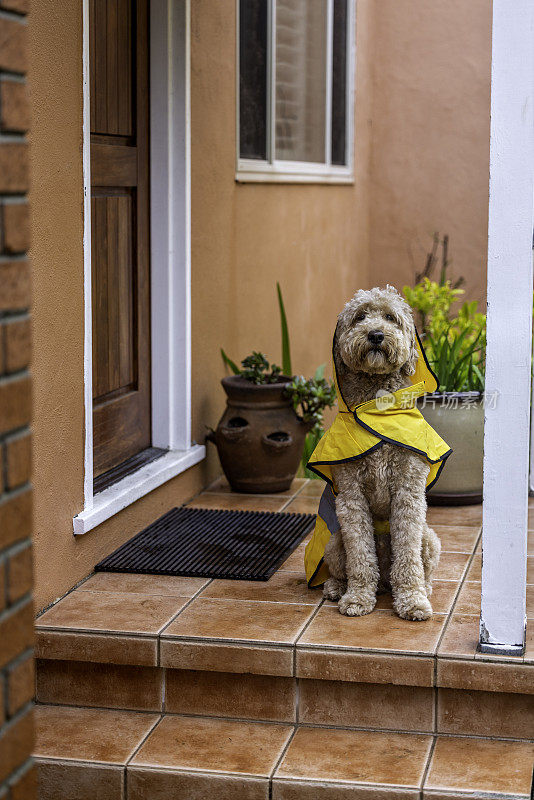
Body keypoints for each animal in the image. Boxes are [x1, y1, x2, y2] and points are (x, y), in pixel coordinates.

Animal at [324, 284, 442, 620]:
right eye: (360, 317)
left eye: (391, 317)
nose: (376, 334)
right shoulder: (351, 496)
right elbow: (360, 556)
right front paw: (357, 598)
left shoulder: (408, 492)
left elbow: (408, 558)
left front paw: (413, 600)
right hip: (333, 543)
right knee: (341, 569)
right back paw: (337, 588)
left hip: (430, 539)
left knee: (420, 566)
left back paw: (423, 588)